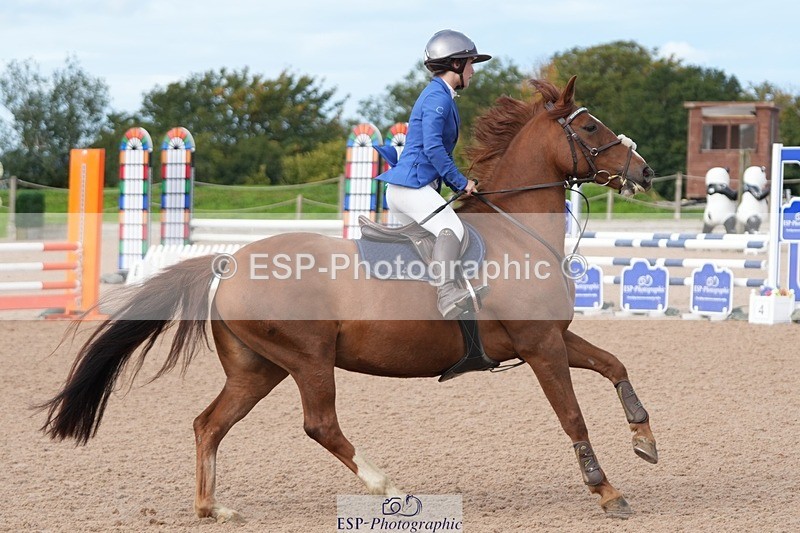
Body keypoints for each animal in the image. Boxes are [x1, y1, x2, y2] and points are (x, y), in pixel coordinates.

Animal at [39, 76, 657, 522]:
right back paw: (391, 488)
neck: (517, 228)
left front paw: (644, 438)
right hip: (308, 359)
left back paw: (213, 507)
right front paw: (607, 491)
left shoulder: (555, 336)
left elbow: (615, 364)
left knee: (209, 424)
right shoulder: (539, 346)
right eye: (591, 126)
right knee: (321, 426)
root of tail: (229, 264)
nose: (645, 171)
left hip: (258, 368)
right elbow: (573, 416)